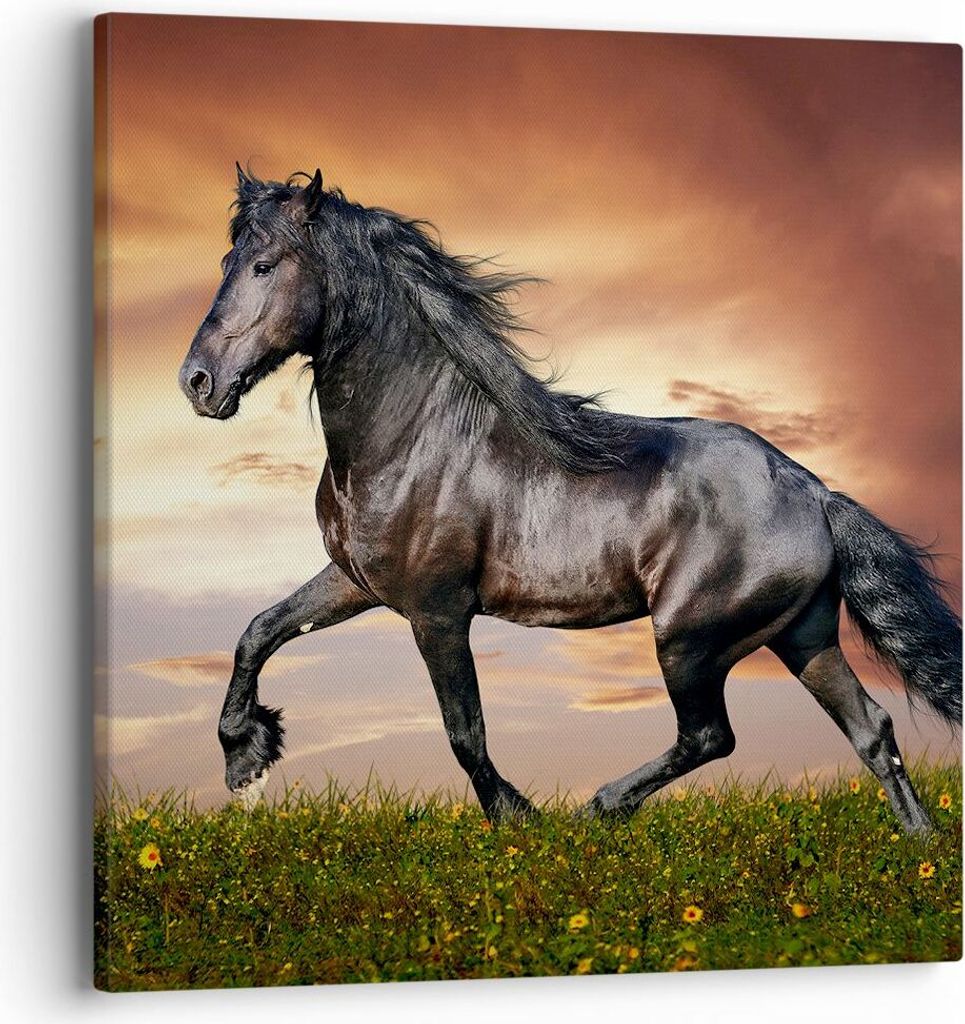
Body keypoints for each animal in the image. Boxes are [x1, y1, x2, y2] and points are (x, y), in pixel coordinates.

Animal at [178, 166, 961, 832]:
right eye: (225, 262)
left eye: (264, 266)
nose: (197, 382)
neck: (412, 437)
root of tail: (814, 492)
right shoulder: (356, 582)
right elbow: (259, 631)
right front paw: (246, 758)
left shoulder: (437, 610)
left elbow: (464, 732)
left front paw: (516, 819)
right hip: (802, 635)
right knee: (871, 730)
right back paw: (917, 846)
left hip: (690, 639)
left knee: (710, 735)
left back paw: (599, 809)